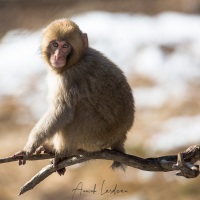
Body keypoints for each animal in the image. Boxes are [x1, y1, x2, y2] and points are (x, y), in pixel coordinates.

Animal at [14, 19, 134, 175]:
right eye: (55, 45)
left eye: (65, 46)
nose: (57, 56)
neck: (77, 60)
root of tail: (120, 138)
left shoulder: (69, 78)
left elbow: (62, 111)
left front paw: (29, 147)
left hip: (96, 136)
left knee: (76, 111)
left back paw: (63, 153)